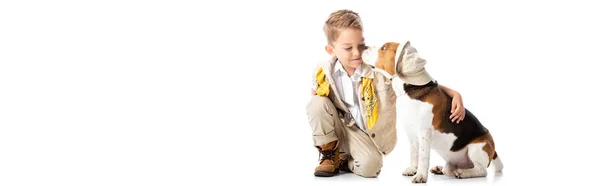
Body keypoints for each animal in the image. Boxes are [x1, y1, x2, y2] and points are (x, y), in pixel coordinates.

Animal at [360, 41, 502, 183]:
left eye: (384, 47)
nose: (363, 47)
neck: (409, 89)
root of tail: (494, 150)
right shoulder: (410, 133)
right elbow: (414, 154)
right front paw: (413, 170)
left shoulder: (424, 132)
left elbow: (423, 157)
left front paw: (420, 176)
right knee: (449, 169)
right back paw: (441, 169)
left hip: (477, 148)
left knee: (482, 171)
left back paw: (463, 173)